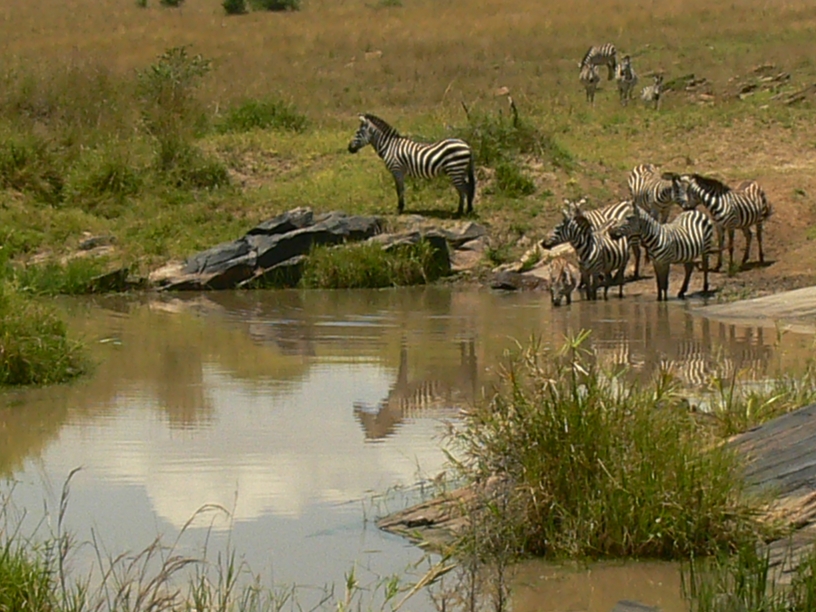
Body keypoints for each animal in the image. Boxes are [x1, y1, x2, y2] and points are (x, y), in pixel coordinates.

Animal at [347, 114, 476, 216]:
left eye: (357, 133)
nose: (349, 149)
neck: (389, 146)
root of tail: (467, 145)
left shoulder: (397, 170)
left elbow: (399, 190)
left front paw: (399, 209)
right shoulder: (399, 172)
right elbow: (401, 189)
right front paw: (400, 208)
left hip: (455, 169)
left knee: (464, 189)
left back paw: (461, 212)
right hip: (460, 170)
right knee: (466, 188)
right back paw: (466, 210)